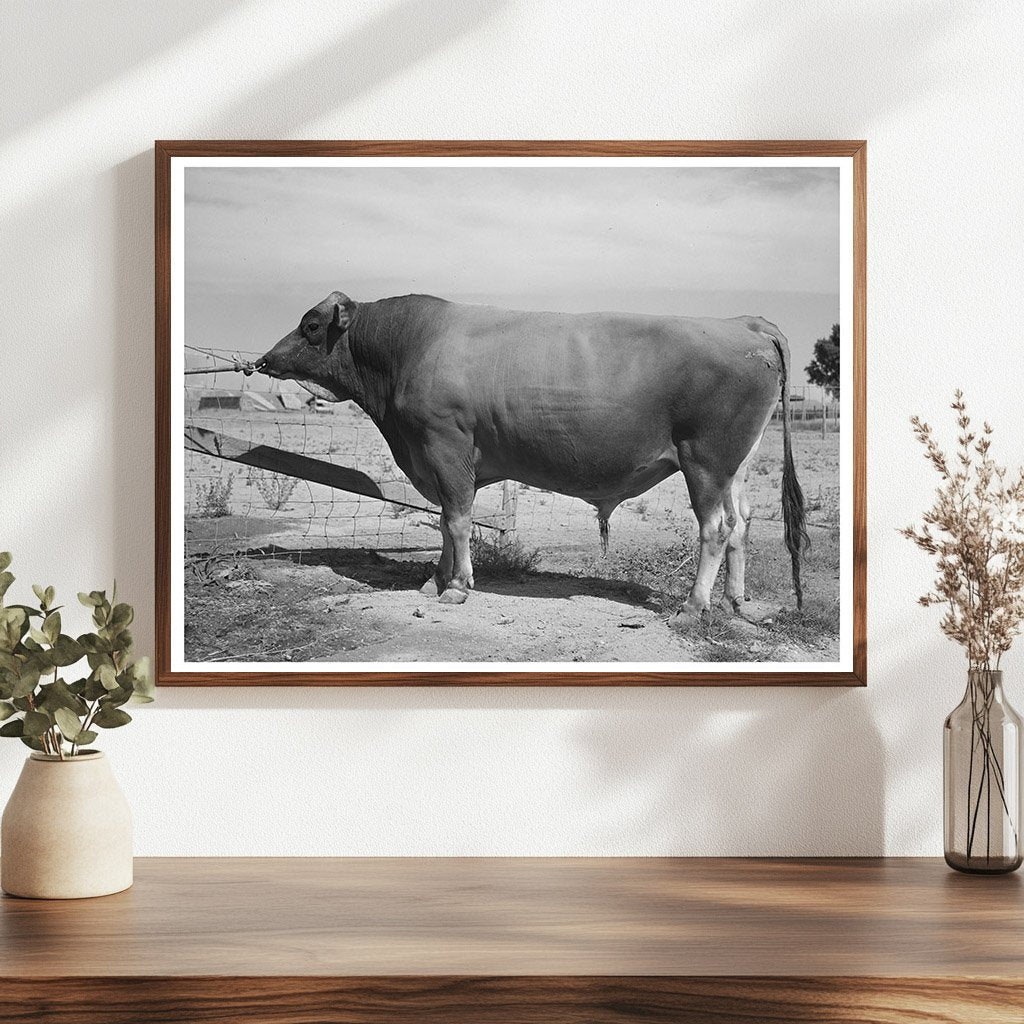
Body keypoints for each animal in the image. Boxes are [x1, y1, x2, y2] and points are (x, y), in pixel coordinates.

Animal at [255, 291, 809, 622]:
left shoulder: (445, 446)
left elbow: (457, 521)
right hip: (735, 464)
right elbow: (445, 522)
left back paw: (694, 606)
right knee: (741, 524)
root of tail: (746, 323)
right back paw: (737, 601)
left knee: (715, 528)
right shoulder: (441, 460)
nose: (262, 360)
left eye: (310, 325)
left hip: (705, 461)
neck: (411, 346)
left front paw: (457, 586)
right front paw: (433, 580)